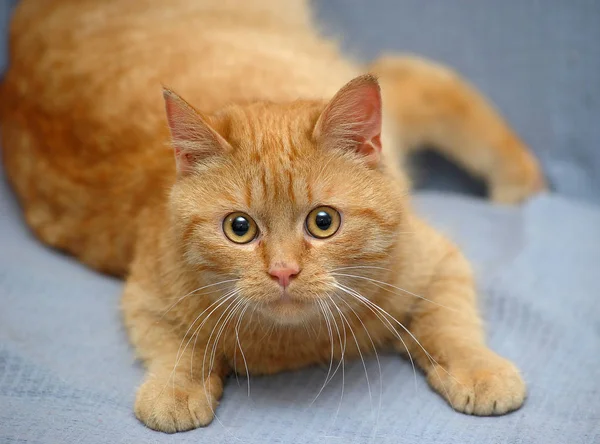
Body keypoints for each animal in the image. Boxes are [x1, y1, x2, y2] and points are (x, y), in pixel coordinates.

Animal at [0, 0, 544, 434]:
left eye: (323, 222)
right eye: (239, 228)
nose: (283, 271)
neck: (296, 345)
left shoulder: (440, 264)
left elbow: (453, 324)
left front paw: (480, 370)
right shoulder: (144, 296)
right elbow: (174, 346)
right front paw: (175, 389)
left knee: (415, 75)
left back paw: (520, 178)